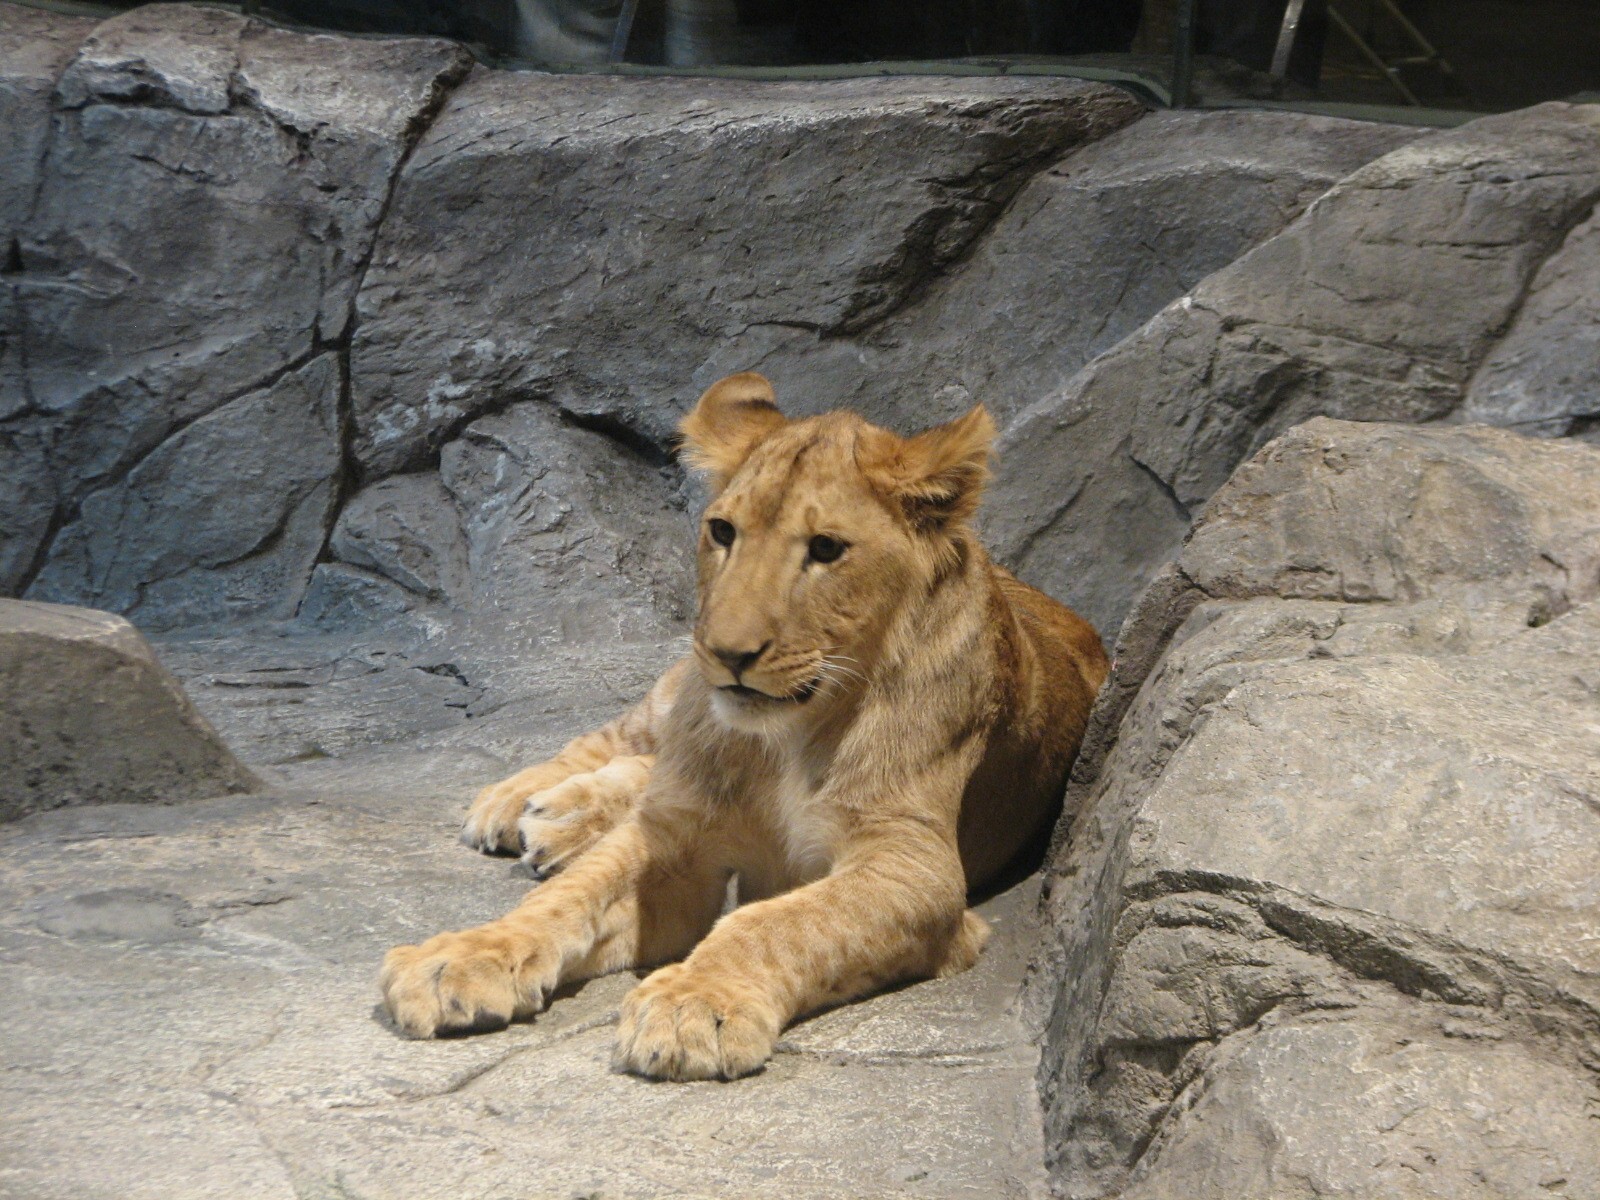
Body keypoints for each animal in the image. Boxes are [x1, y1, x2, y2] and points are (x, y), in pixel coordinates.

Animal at [381, 372, 1108, 1080]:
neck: (787, 737)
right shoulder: (674, 832)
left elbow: (779, 922)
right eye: (724, 531)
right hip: (677, 693)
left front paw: (693, 1002)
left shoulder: (915, 867)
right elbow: (570, 895)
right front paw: (462, 958)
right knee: (623, 741)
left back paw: (560, 818)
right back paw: (520, 803)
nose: (728, 654)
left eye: (826, 549)